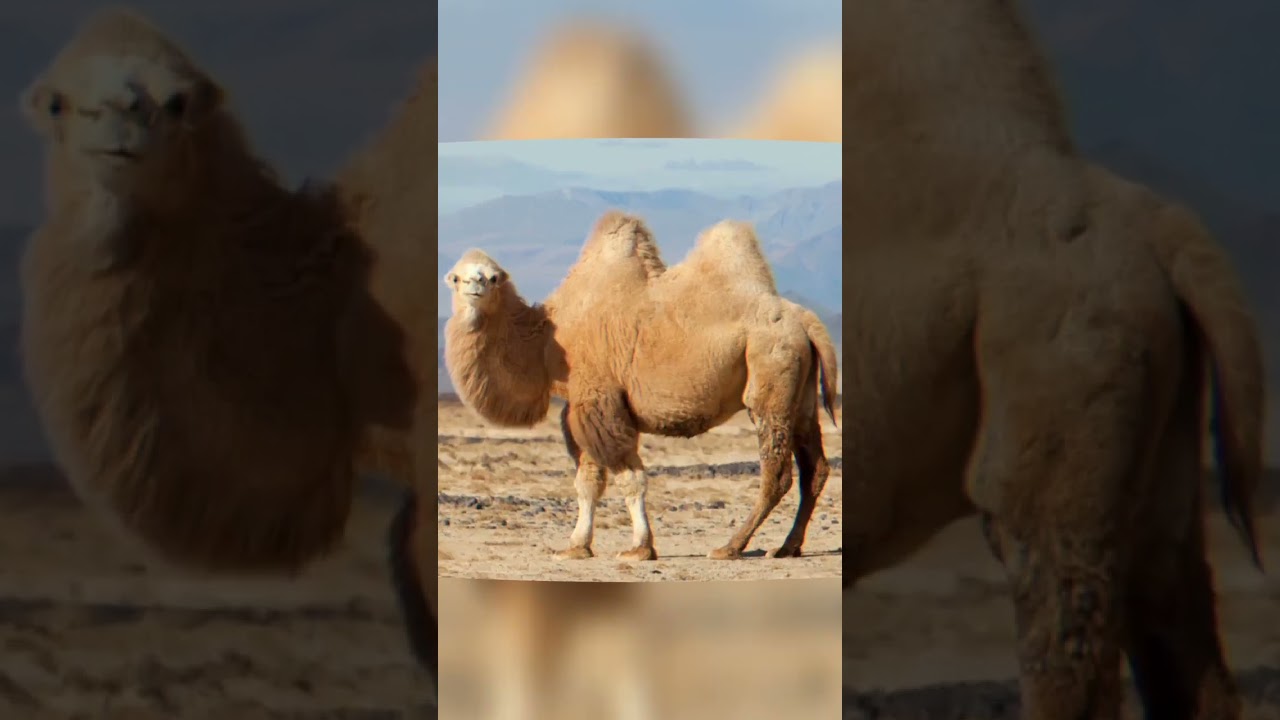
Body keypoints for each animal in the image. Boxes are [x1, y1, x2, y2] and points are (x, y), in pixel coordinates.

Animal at [443, 212, 840, 561]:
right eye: (456, 278)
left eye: (493, 277)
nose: (475, 286)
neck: (547, 341)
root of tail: (805, 319)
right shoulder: (581, 406)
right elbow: (588, 481)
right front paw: (576, 547)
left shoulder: (600, 401)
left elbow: (629, 478)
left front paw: (639, 548)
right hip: (801, 394)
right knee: (815, 468)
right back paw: (787, 547)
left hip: (770, 373)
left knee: (777, 472)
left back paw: (730, 547)